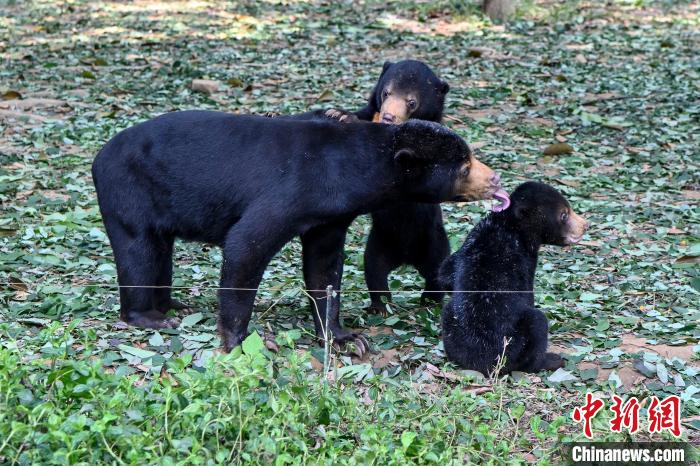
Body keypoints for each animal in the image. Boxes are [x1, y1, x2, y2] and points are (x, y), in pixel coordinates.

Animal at [91, 111, 504, 352]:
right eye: (464, 166)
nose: (496, 179)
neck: (346, 170)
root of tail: (99, 156)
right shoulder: (289, 192)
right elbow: (246, 244)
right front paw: (237, 339)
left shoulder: (328, 217)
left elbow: (324, 269)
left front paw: (345, 337)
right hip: (129, 191)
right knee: (139, 250)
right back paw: (151, 316)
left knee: (160, 250)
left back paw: (171, 304)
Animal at [440, 182, 588, 374]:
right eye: (564, 214)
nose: (585, 225)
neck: (510, 223)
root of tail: (486, 361)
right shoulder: (526, 258)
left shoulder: (469, 242)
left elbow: (445, 273)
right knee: (537, 325)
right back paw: (550, 361)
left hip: (451, 324)